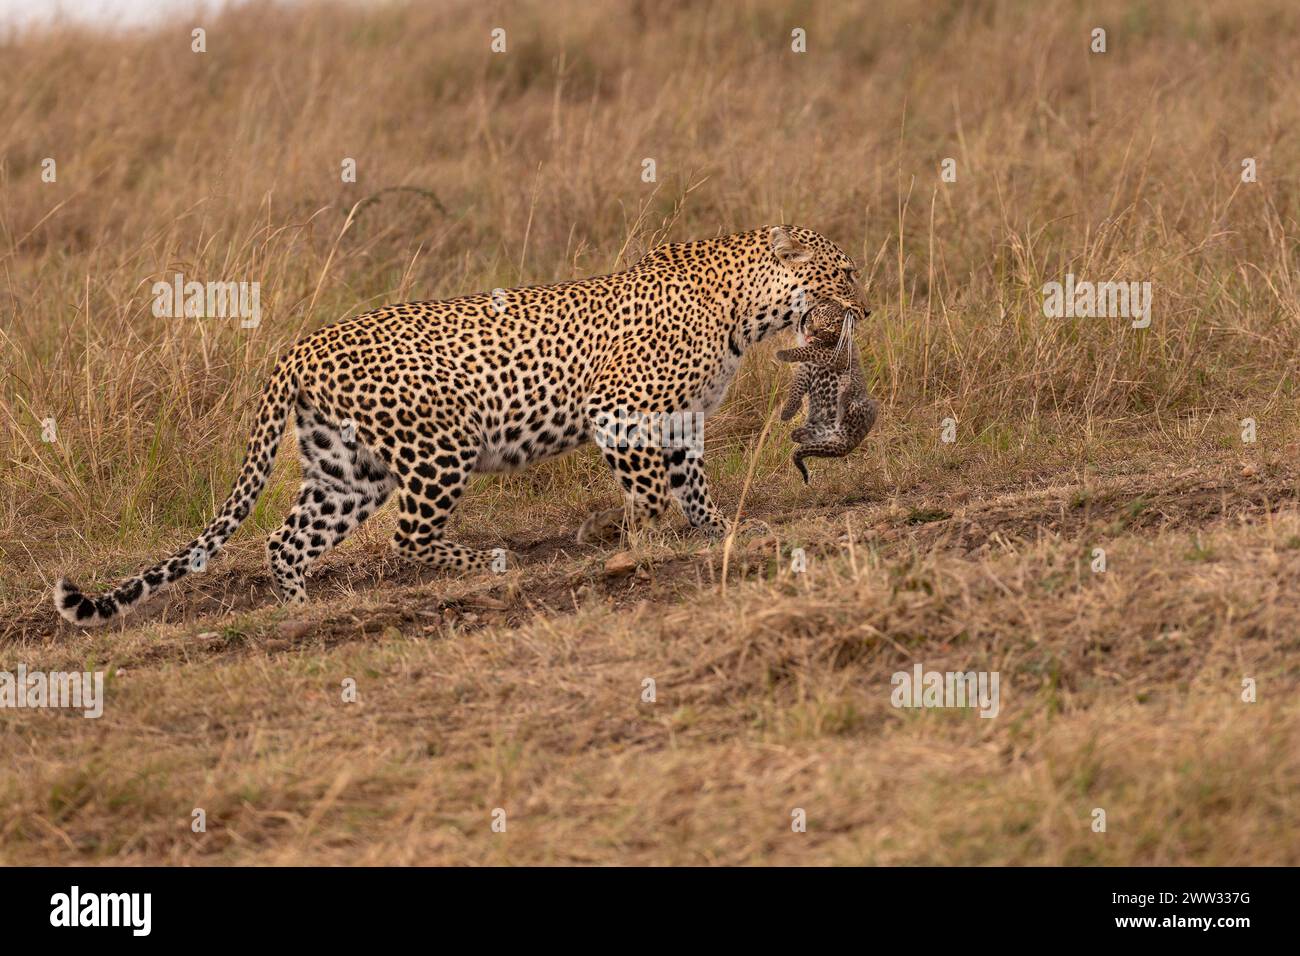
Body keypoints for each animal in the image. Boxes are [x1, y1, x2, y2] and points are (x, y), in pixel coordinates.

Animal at [53, 226, 863, 629]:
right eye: (845, 273)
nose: (867, 305)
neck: (745, 313)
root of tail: (298, 347)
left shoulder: (681, 421)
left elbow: (692, 490)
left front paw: (720, 532)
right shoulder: (621, 412)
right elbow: (652, 495)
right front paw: (627, 540)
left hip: (347, 470)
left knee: (288, 540)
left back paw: (301, 614)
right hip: (441, 444)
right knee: (410, 536)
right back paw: (489, 563)